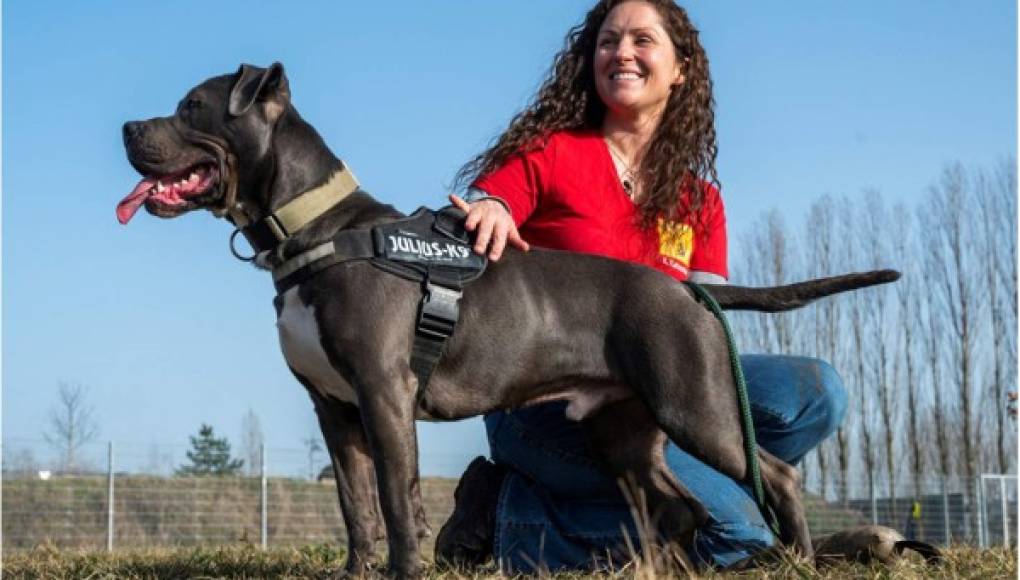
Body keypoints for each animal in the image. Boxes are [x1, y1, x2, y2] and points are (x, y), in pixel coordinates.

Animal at [119, 63, 897, 574]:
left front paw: (406, 570)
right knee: (680, 507)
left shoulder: (383, 392)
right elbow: (356, 509)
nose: (128, 125)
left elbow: (396, 504)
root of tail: (686, 294)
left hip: (696, 405)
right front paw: (359, 571)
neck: (315, 231)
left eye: (192, 105)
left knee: (776, 476)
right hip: (626, 435)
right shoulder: (334, 411)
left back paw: (797, 559)